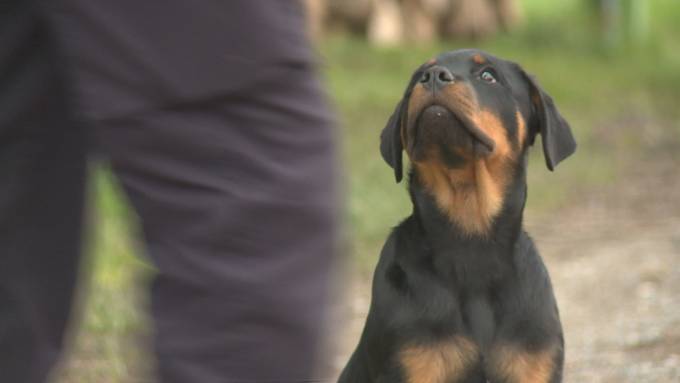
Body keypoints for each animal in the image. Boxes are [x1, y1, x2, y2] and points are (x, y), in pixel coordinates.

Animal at [338, 48, 572, 383]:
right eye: (417, 78)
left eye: (489, 76)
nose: (433, 76)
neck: (470, 236)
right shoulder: (414, 361)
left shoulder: (534, 363)